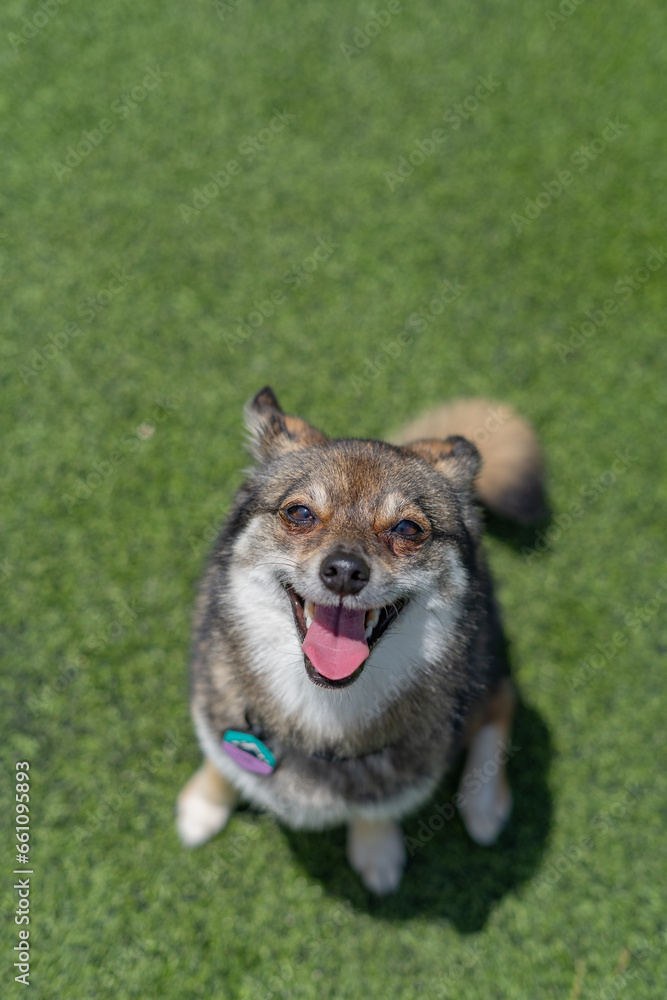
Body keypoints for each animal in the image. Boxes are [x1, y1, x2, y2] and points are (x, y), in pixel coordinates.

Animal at [177, 386, 548, 896]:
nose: (344, 571)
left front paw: (377, 851)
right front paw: (204, 804)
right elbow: (219, 756)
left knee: (502, 699)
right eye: (299, 513)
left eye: (408, 528)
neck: (324, 706)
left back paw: (484, 805)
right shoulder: (216, 699)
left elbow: (379, 807)